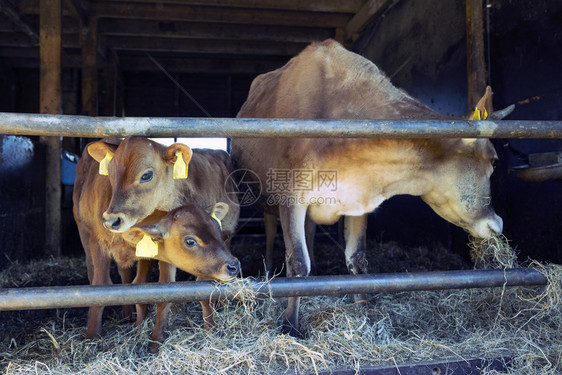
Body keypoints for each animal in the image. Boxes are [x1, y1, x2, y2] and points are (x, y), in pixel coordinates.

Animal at [121, 203, 237, 352]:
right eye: (190, 241)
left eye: (218, 229)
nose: (234, 265)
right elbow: (163, 294)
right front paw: (155, 343)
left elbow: (205, 292)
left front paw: (212, 329)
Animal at [230, 39, 506, 338]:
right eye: (493, 160)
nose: (497, 224)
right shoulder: (292, 197)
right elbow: (298, 263)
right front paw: (290, 326)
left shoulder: (358, 197)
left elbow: (357, 259)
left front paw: (360, 311)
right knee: (271, 233)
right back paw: (270, 272)